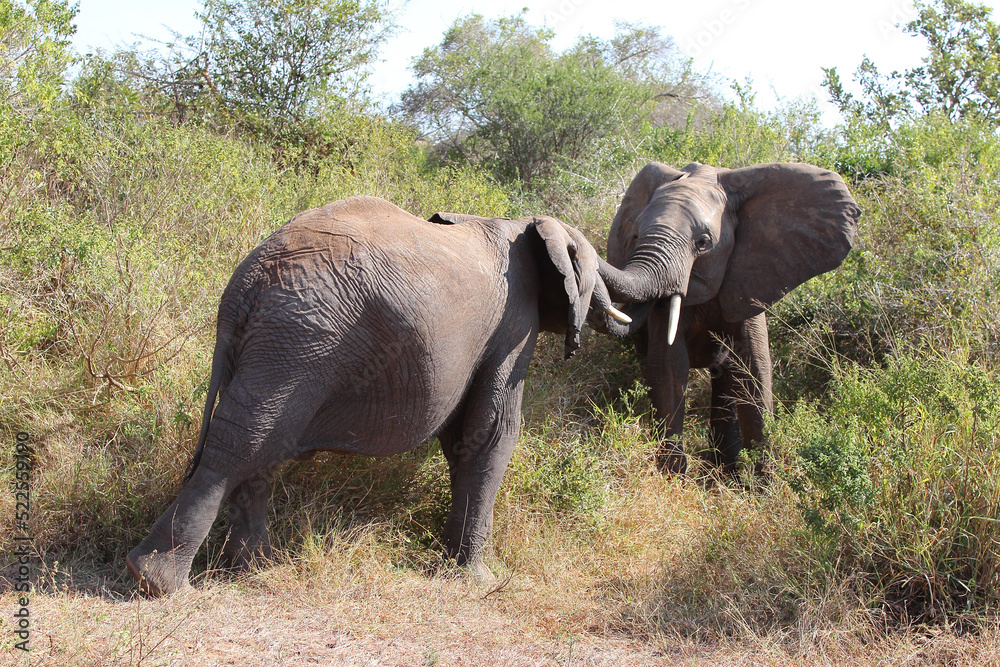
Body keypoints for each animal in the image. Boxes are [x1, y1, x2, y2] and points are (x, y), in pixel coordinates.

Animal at [126, 195, 627, 596]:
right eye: (592, 268)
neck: (522, 221)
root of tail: (243, 290)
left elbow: (461, 439)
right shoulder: (514, 327)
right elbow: (492, 433)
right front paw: (479, 580)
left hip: (279, 347)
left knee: (262, 448)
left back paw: (254, 569)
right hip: (300, 343)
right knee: (243, 445)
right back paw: (158, 582)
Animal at [595, 161, 860, 474]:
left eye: (703, 242)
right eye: (635, 234)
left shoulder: (750, 278)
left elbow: (755, 370)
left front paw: (763, 482)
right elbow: (669, 366)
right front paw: (673, 477)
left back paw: (728, 471)